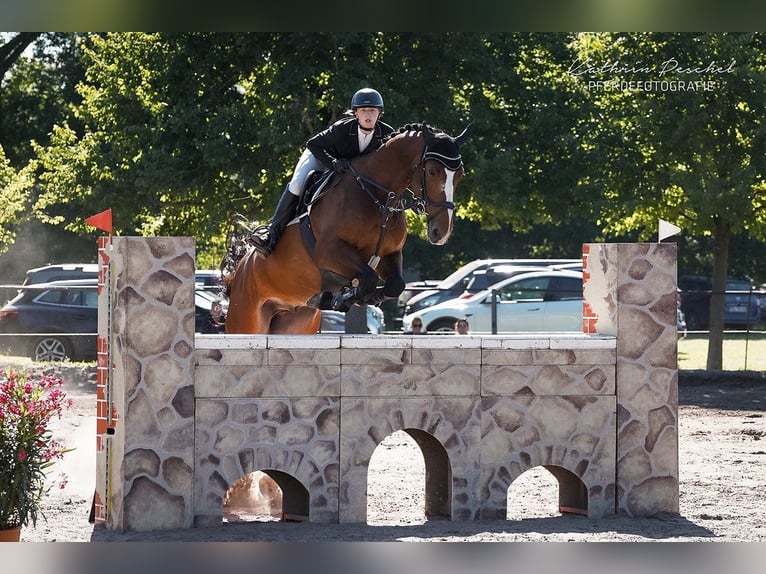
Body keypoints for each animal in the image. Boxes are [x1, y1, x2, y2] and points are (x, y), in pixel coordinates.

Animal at [225, 124, 472, 336]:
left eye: (460, 174)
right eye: (432, 171)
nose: (441, 231)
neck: (377, 196)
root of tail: (241, 267)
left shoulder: (389, 255)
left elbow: (395, 285)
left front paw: (361, 297)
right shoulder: (328, 252)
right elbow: (367, 277)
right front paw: (345, 297)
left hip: (296, 322)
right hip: (246, 320)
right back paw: (265, 240)